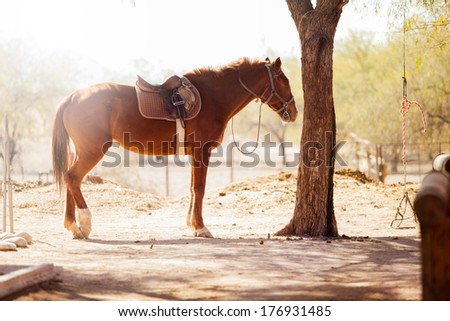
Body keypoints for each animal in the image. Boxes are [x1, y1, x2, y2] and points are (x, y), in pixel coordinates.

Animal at [52, 57, 298, 238]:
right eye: (284, 81)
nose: (294, 112)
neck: (213, 97)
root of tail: (72, 97)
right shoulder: (202, 150)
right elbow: (199, 188)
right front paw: (201, 227)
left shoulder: (194, 153)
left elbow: (192, 188)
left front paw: (192, 224)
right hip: (92, 150)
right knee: (73, 177)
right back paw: (84, 224)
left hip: (80, 151)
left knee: (70, 179)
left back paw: (72, 226)